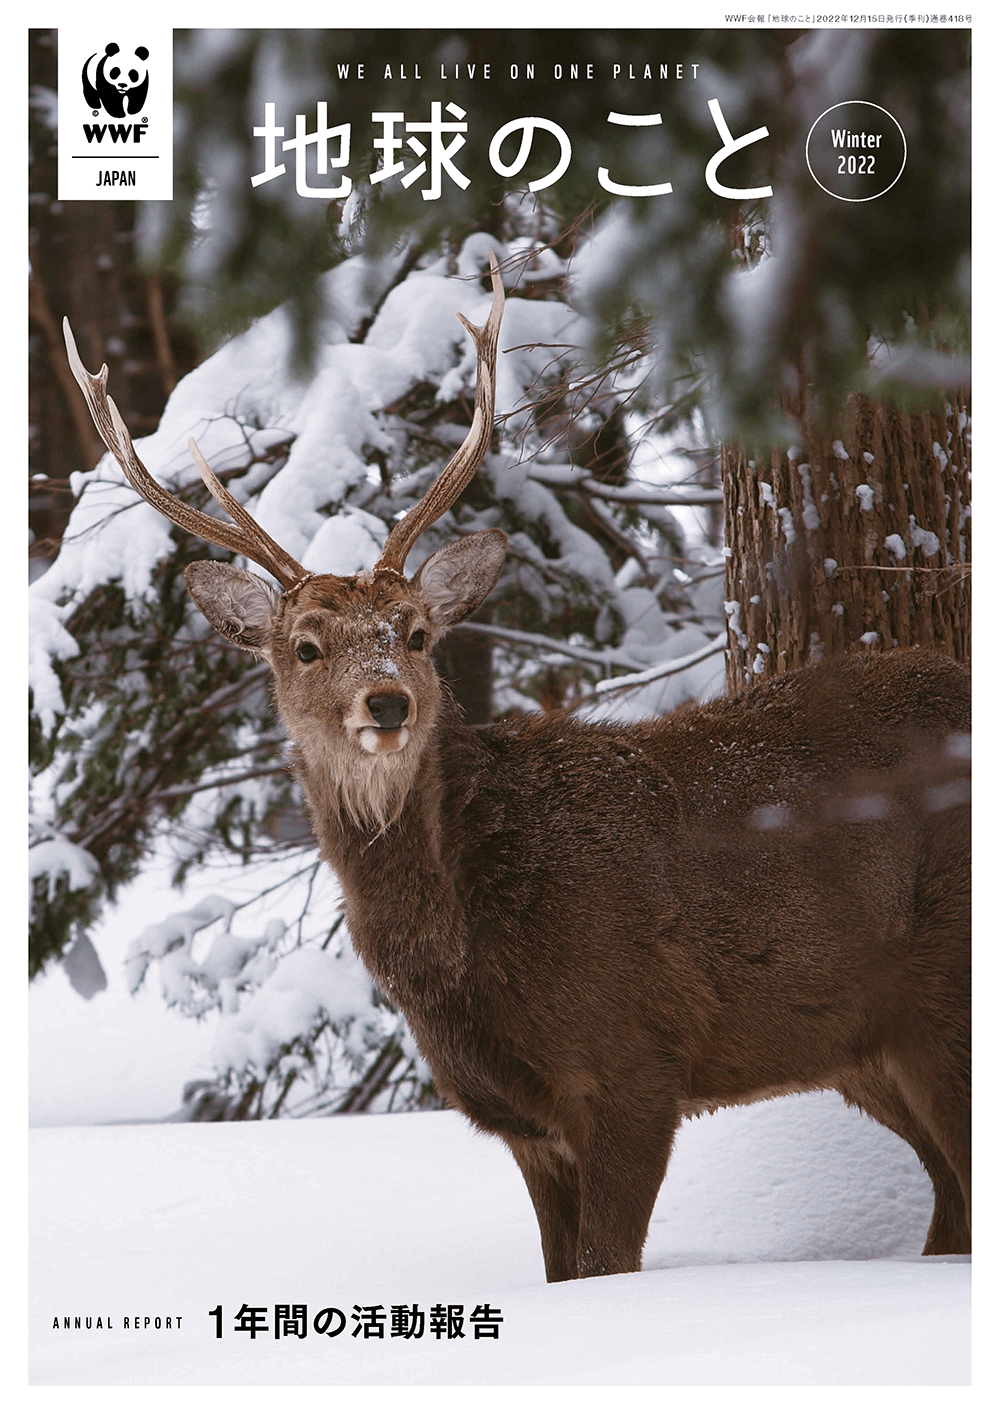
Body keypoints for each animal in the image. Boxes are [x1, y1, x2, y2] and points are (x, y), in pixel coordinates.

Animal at [62, 254, 967, 1283]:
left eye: (416, 632)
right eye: (304, 645)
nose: (388, 703)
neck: (467, 953)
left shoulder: (635, 1060)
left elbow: (609, 1265)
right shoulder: (522, 1121)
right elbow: (562, 1271)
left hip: (946, 992)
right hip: (866, 1044)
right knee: (952, 1207)